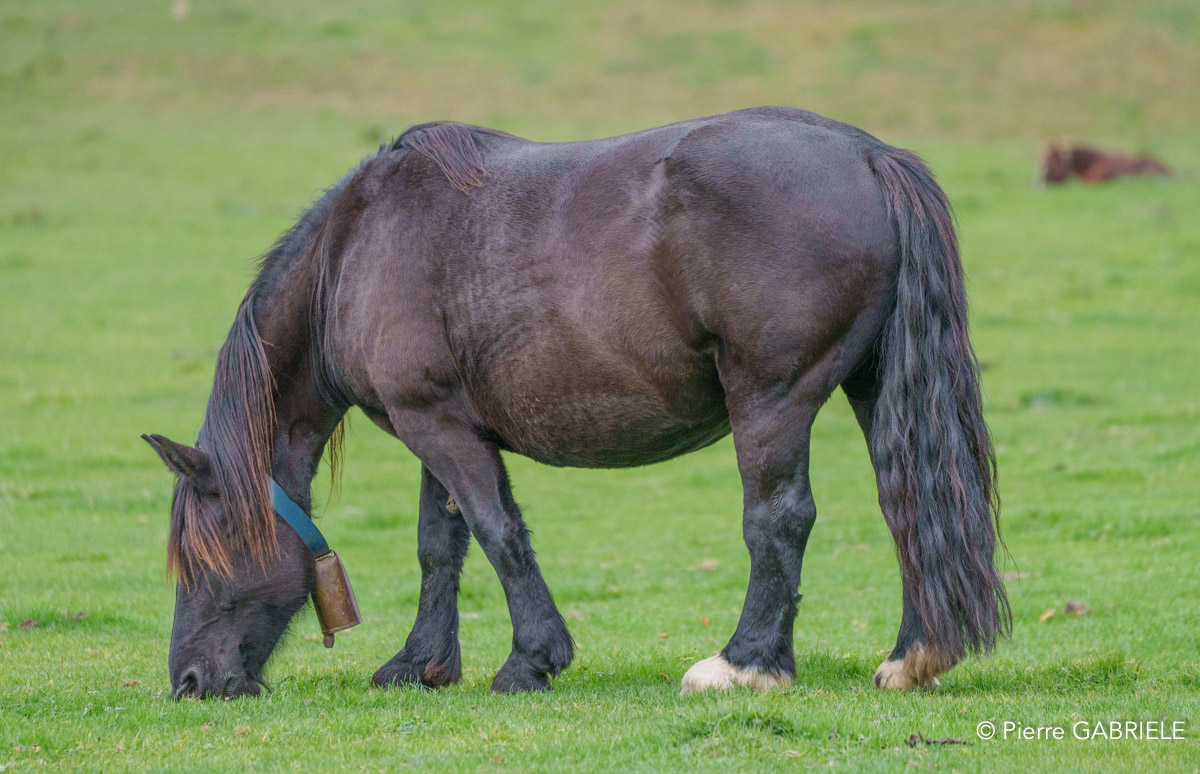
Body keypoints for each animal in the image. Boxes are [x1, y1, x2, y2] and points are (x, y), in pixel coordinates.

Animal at [143, 106, 1009, 699]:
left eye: (206, 558)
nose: (189, 683)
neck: (355, 249)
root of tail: (870, 154)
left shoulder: (436, 426)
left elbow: (499, 535)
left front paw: (532, 659)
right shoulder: (439, 425)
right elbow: (439, 547)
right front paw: (421, 662)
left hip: (773, 398)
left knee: (779, 518)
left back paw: (746, 662)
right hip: (871, 386)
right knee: (908, 504)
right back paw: (913, 655)